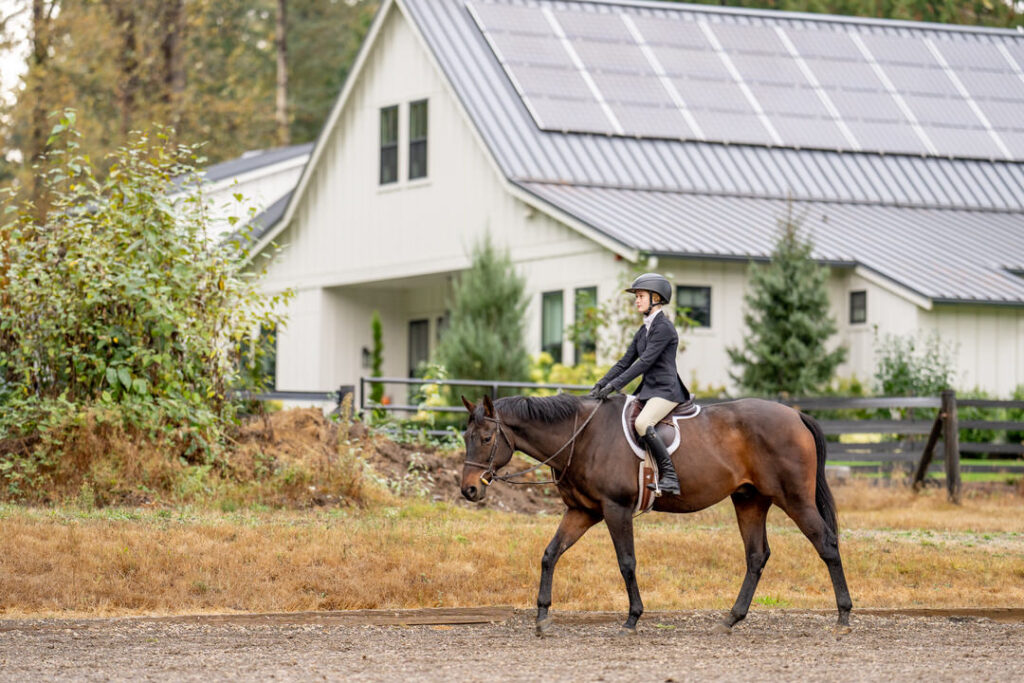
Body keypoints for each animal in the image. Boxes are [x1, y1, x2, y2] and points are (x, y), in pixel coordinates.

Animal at [460, 393, 851, 638]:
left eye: (486, 438)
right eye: (465, 436)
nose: (469, 490)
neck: (580, 437)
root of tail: (794, 414)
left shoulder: (615, 509)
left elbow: (626, 562)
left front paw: (632, 618)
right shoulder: (582, 512)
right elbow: (550, 554)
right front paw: (542, 617)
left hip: (794, 498)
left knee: (826, 544)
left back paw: (844, 616)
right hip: (749, 500)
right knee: (756, 556)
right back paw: (731, 619)